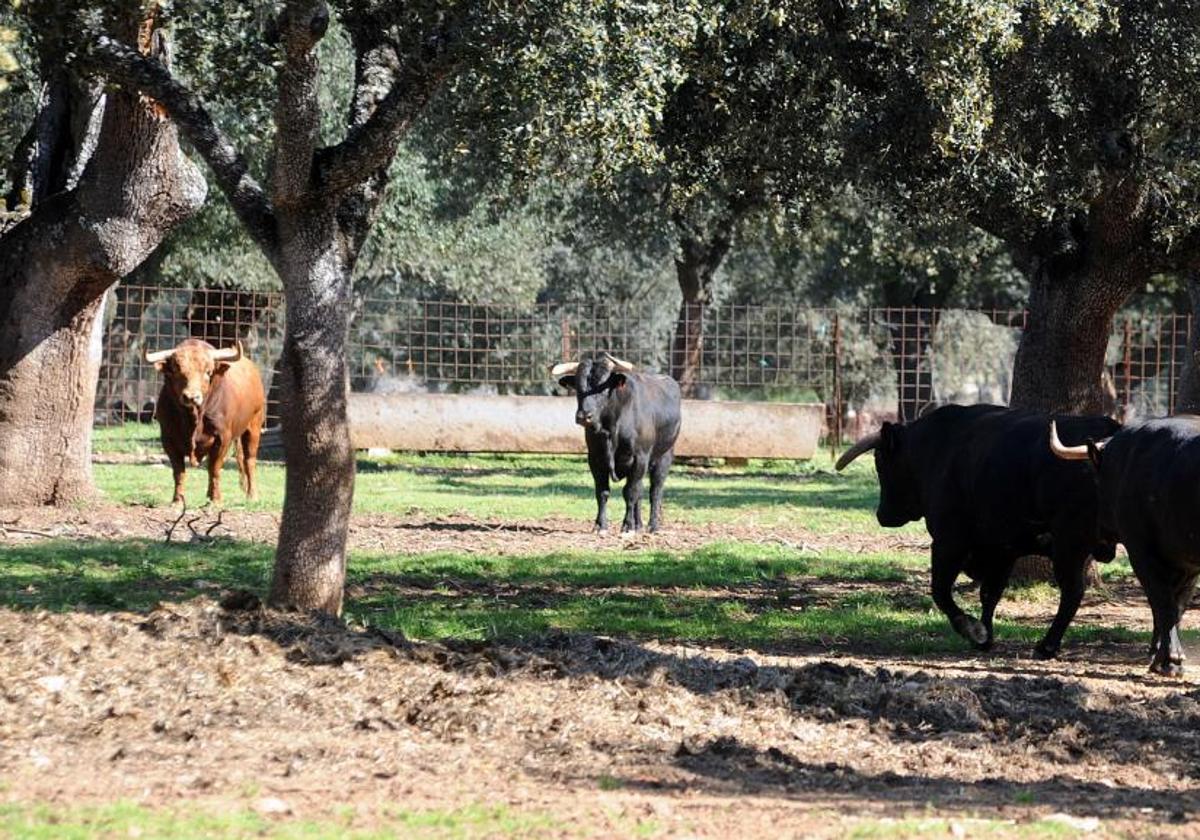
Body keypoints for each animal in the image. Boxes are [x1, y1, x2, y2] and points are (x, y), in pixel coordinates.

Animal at [146, 336, 266, 506]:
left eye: (208, 372)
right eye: (176, 370)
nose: (191, 396)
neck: (193, 419)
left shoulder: (223, 438)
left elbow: (214, 469)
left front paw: (215, 500)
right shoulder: (168, 439)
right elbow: (179, 472)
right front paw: (177, 500)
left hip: (254, 427)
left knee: (249, 460)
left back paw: (252, 495)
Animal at [549, 352, 681, 530]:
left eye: (603, 387)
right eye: (578, 386)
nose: (584, 416)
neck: (611, 428)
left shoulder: (639, 458)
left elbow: (630, 492)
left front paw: (627, 525)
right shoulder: (595, 459)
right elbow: (602, 492)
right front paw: (601, 525)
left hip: (664, 456)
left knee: (655, 490)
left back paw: (652, 526)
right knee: (641, 490)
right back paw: (639, 524)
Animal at [835, 403, 1123, 657]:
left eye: (880, 461)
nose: (882, 515)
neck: (934, 448)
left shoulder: (949, 541)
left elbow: (940, 590)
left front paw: (972, 630)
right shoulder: (1002, 549)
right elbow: (989, 594)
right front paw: (986, 636)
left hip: (1069, 543)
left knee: (1072, 591)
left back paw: (1046, 646)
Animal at [1051, 417, 1200, 681]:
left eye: (1097, 483)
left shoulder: (1141, 551)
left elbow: (1163, 604)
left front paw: (1168, 660)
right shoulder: (1187, 563)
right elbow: (1176, 607)